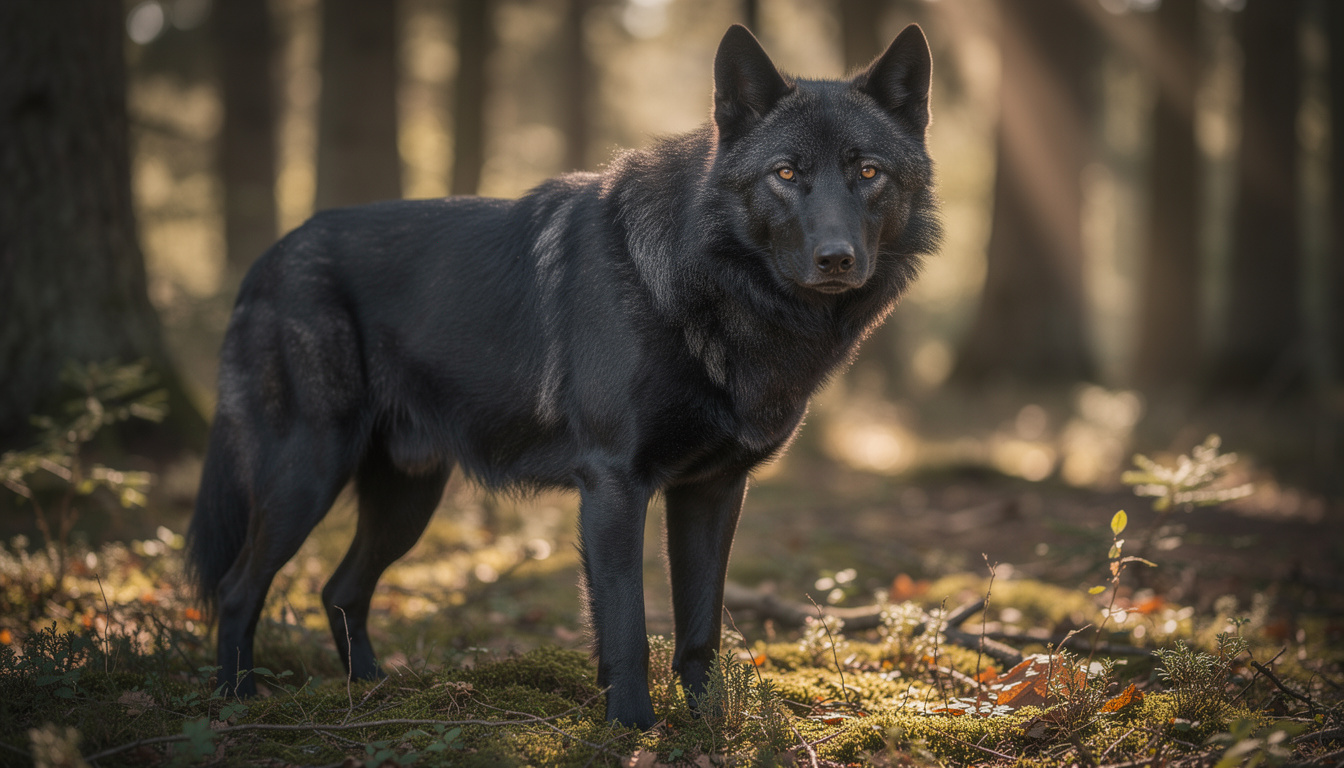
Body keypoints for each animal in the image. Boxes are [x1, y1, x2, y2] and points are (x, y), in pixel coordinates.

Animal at [188, 23, 938, 729]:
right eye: (785, 174)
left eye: (868, 172)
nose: (836, 259)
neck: (705, 284)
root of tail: (268, 257)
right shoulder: (613, 485)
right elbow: (627, 627)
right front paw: (632, 728)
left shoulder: (713, 491)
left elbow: (700, 631)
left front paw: (704, 727)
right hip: (306, 476)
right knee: (237, 588)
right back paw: (238, 703)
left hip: (408, 498)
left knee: (339, 590)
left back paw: (372, 693)